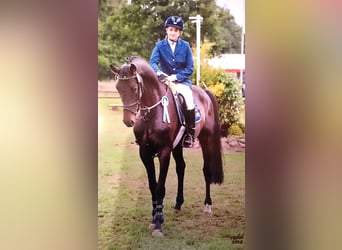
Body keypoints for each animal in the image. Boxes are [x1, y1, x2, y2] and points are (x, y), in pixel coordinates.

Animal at [108, 56, 223, 236]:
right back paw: (178, 204)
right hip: (178, 146)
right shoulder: (144, 152)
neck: (151, 114)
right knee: (181, 168)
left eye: (134, 88)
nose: (128, 121)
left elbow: (160, 187)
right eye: (118, 88)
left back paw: (207, 204)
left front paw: (158, 224)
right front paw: (154, 217)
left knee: (206, 170)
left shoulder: (164, 152)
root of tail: (204, 92)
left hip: (206, 139)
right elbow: (152, 185)